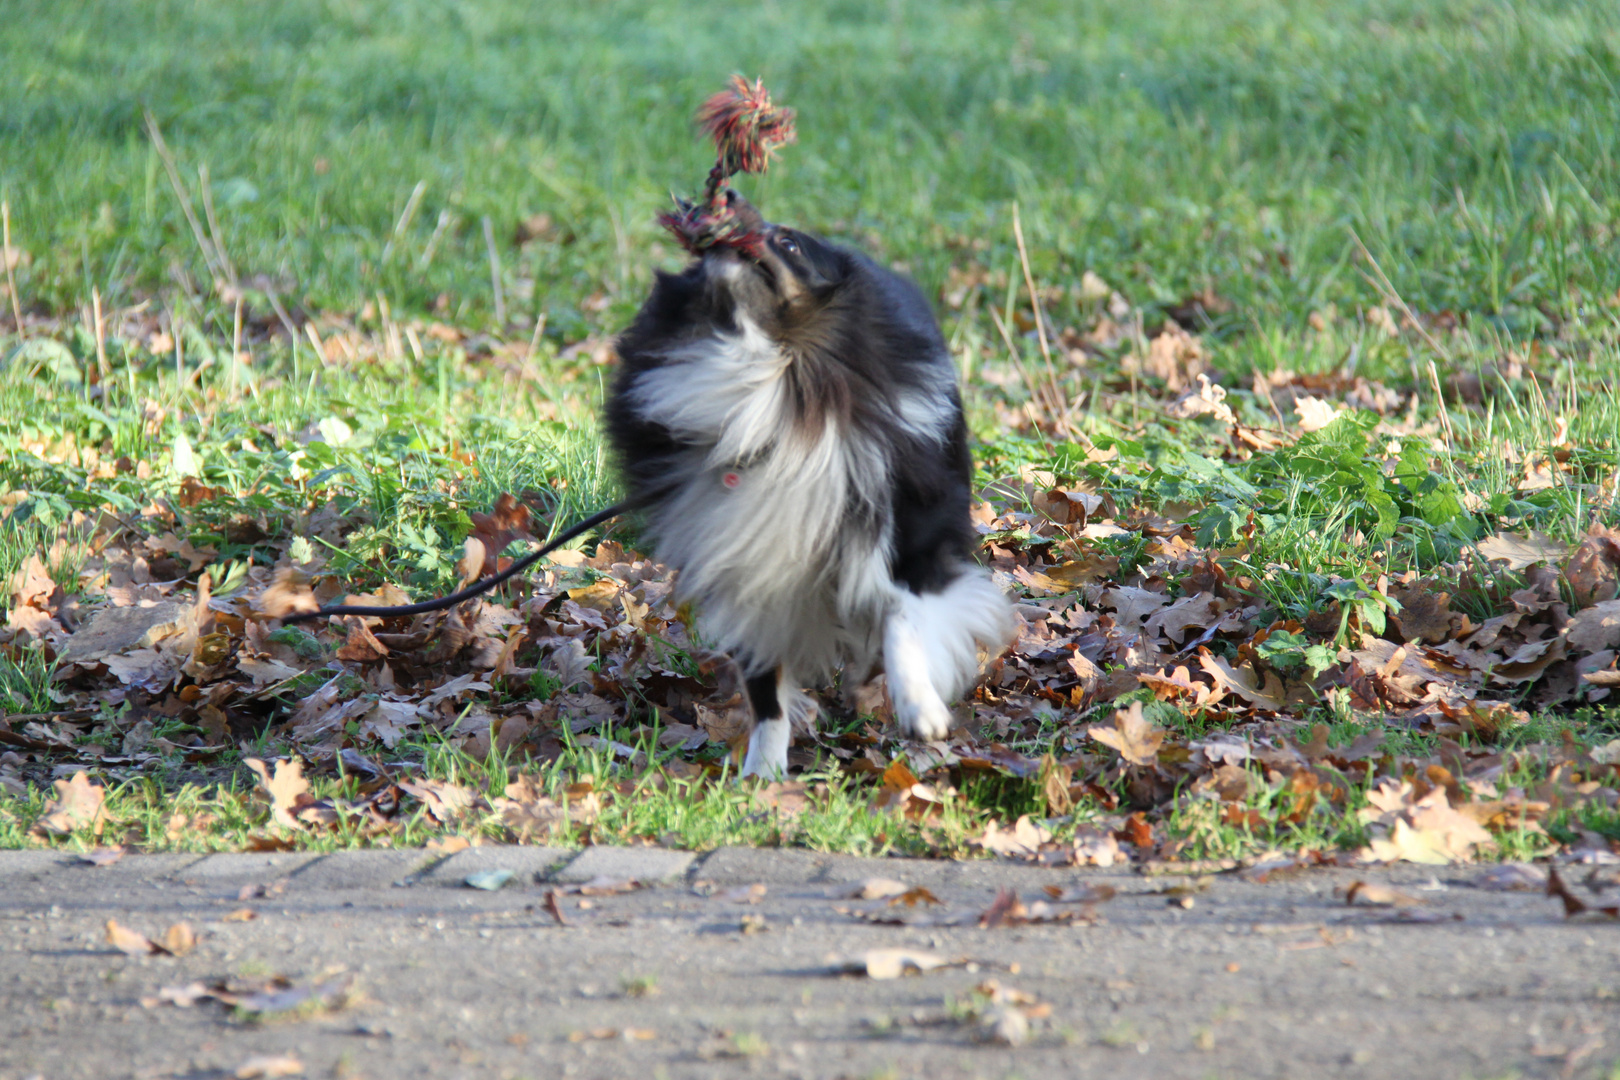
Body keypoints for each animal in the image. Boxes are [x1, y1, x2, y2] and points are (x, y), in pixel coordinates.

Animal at [609, 202, 1010, 777]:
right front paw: (763, 772)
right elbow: (766, 690)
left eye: (789, 243)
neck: (781, 386)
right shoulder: (748, 565)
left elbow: (902, 616)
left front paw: (920, 708)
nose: (730, 217)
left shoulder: (911, 539)